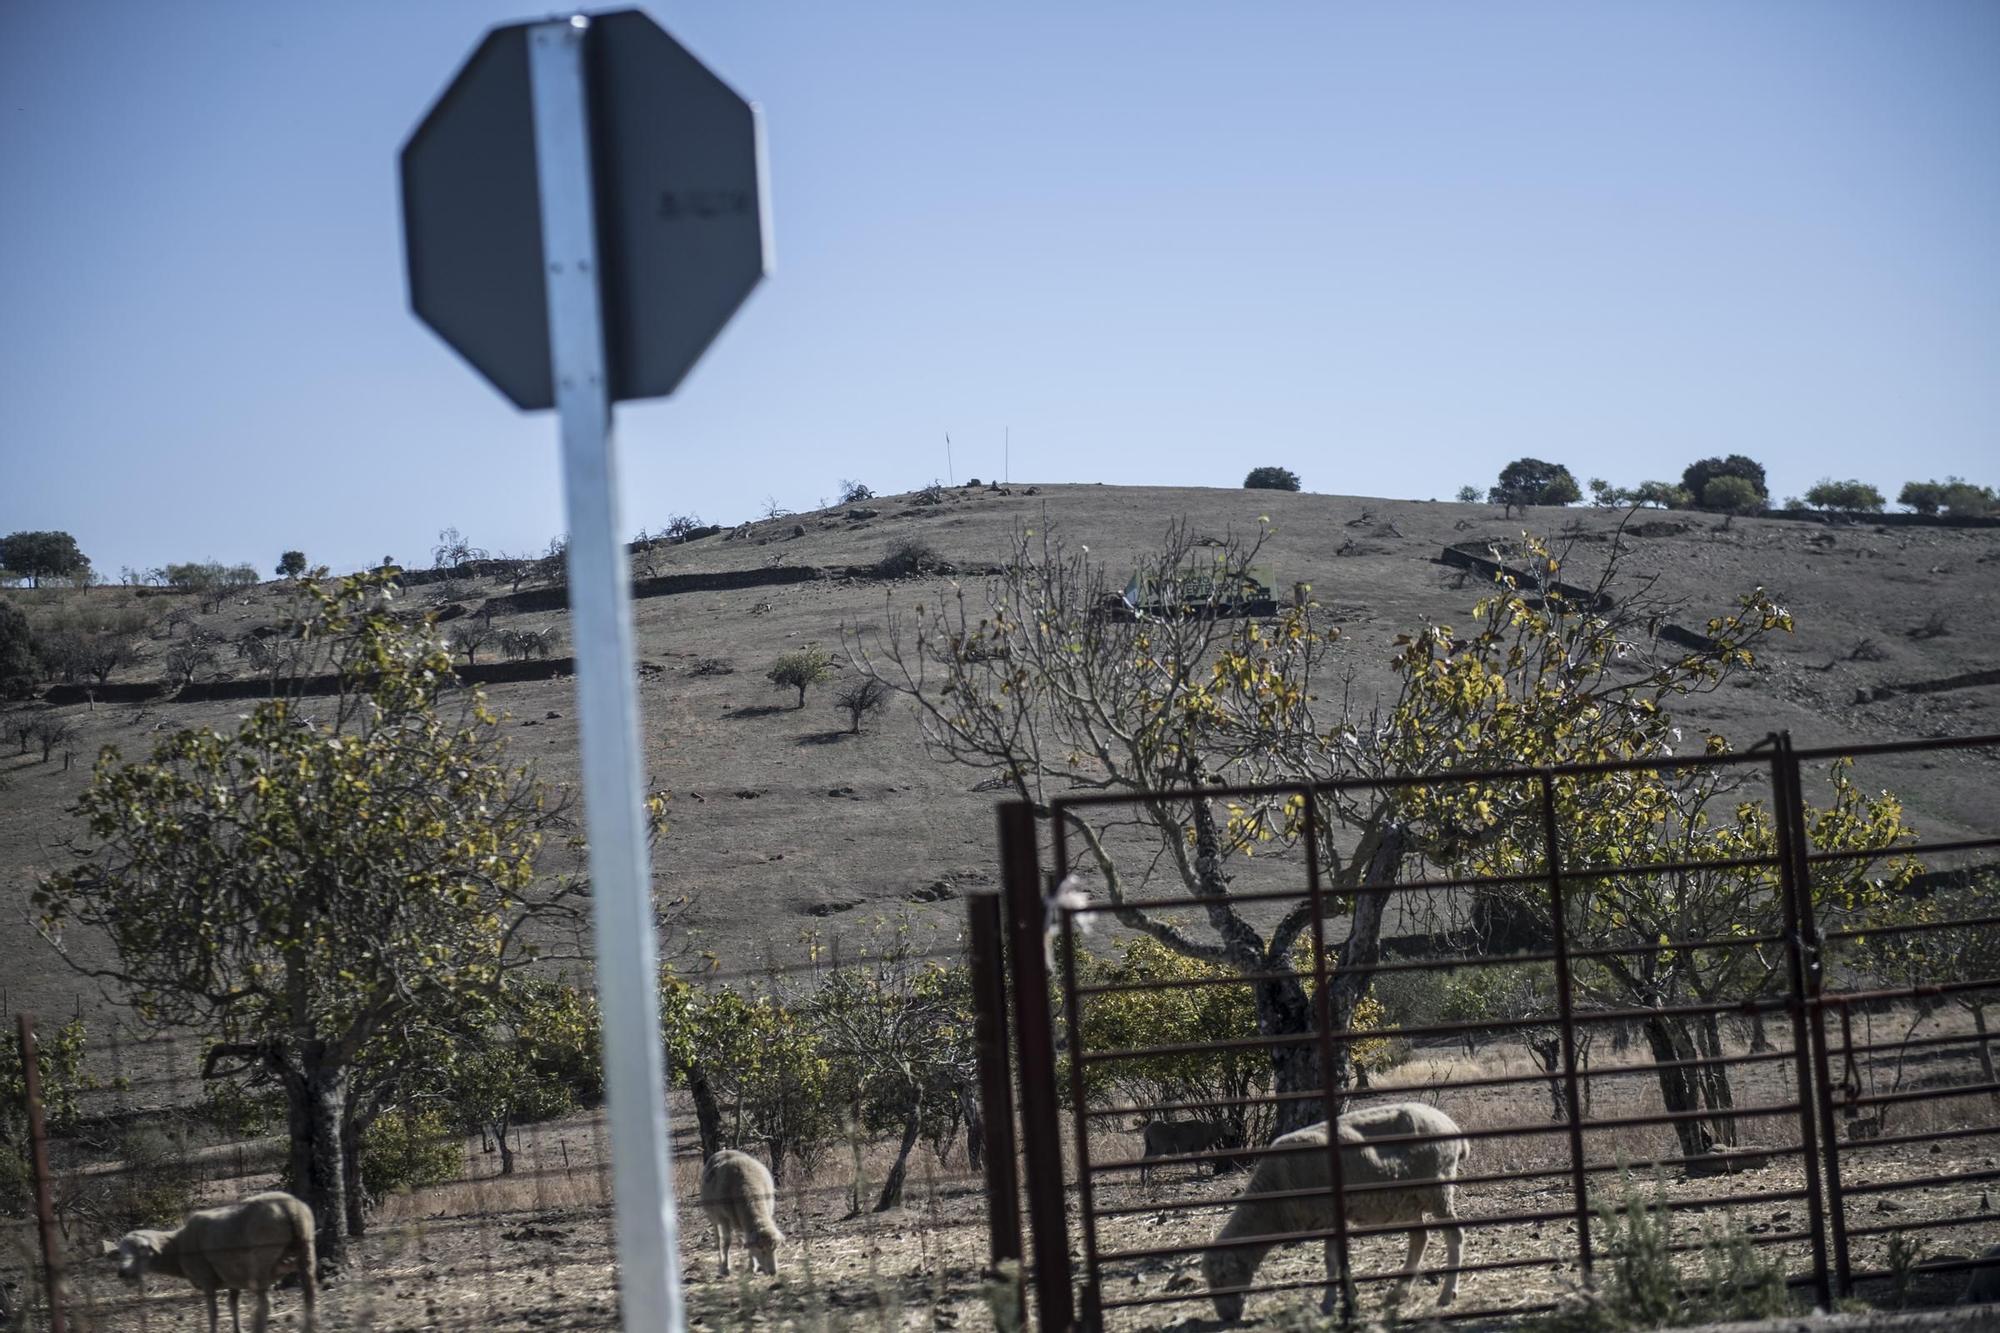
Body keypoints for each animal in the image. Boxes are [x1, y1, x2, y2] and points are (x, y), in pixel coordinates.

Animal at [103, 1184, 316, 1328]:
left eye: (142, 1249)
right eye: (120, 1252)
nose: (122, 1272)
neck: (177, 1246)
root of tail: (289, 1208)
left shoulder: (207, 1279)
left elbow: (213, 1313)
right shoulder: (231, 1278)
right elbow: (233, 1306)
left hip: (262, 1260)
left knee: (265, 1304)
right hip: (305, 1249)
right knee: (309, 1292)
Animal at [700, 1144, 784, 1272]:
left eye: (775, 1249)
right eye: (761, 1249)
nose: (773, 1272)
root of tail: (723, 1151)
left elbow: (747, 1240)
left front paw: (752, 1266)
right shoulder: (724, 1218)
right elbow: (727, 1242)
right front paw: (725, 1268)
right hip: (713, 1215)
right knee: (719, 1238)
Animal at [1200, 1096, 1472, 1320]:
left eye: (1222, 1277)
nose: (1227, 1318)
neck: (1272, 1203)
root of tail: (1452, 1127)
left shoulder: (1329, 1214)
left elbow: (1331, 1260)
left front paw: (1331, 1301)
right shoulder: (1328, 1219)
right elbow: (1334, 1258)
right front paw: (1347, 1295)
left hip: (1437, 1189)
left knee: (1454, 1235)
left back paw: (1447, 1294)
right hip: (1408, 1201)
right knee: (1419, 1238)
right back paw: (1398, 1293)